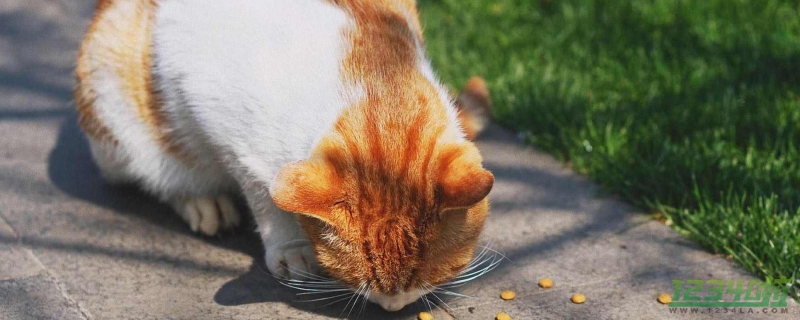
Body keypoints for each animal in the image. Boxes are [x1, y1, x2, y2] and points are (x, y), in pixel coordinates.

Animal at [78, 0, 494, 312]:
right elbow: (263, 194)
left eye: (428, 274)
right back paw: (203, 201)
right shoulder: (220, 122)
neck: (378, 74)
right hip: (114, 117)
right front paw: (290, 246)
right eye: (359, 280)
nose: (393, 307)